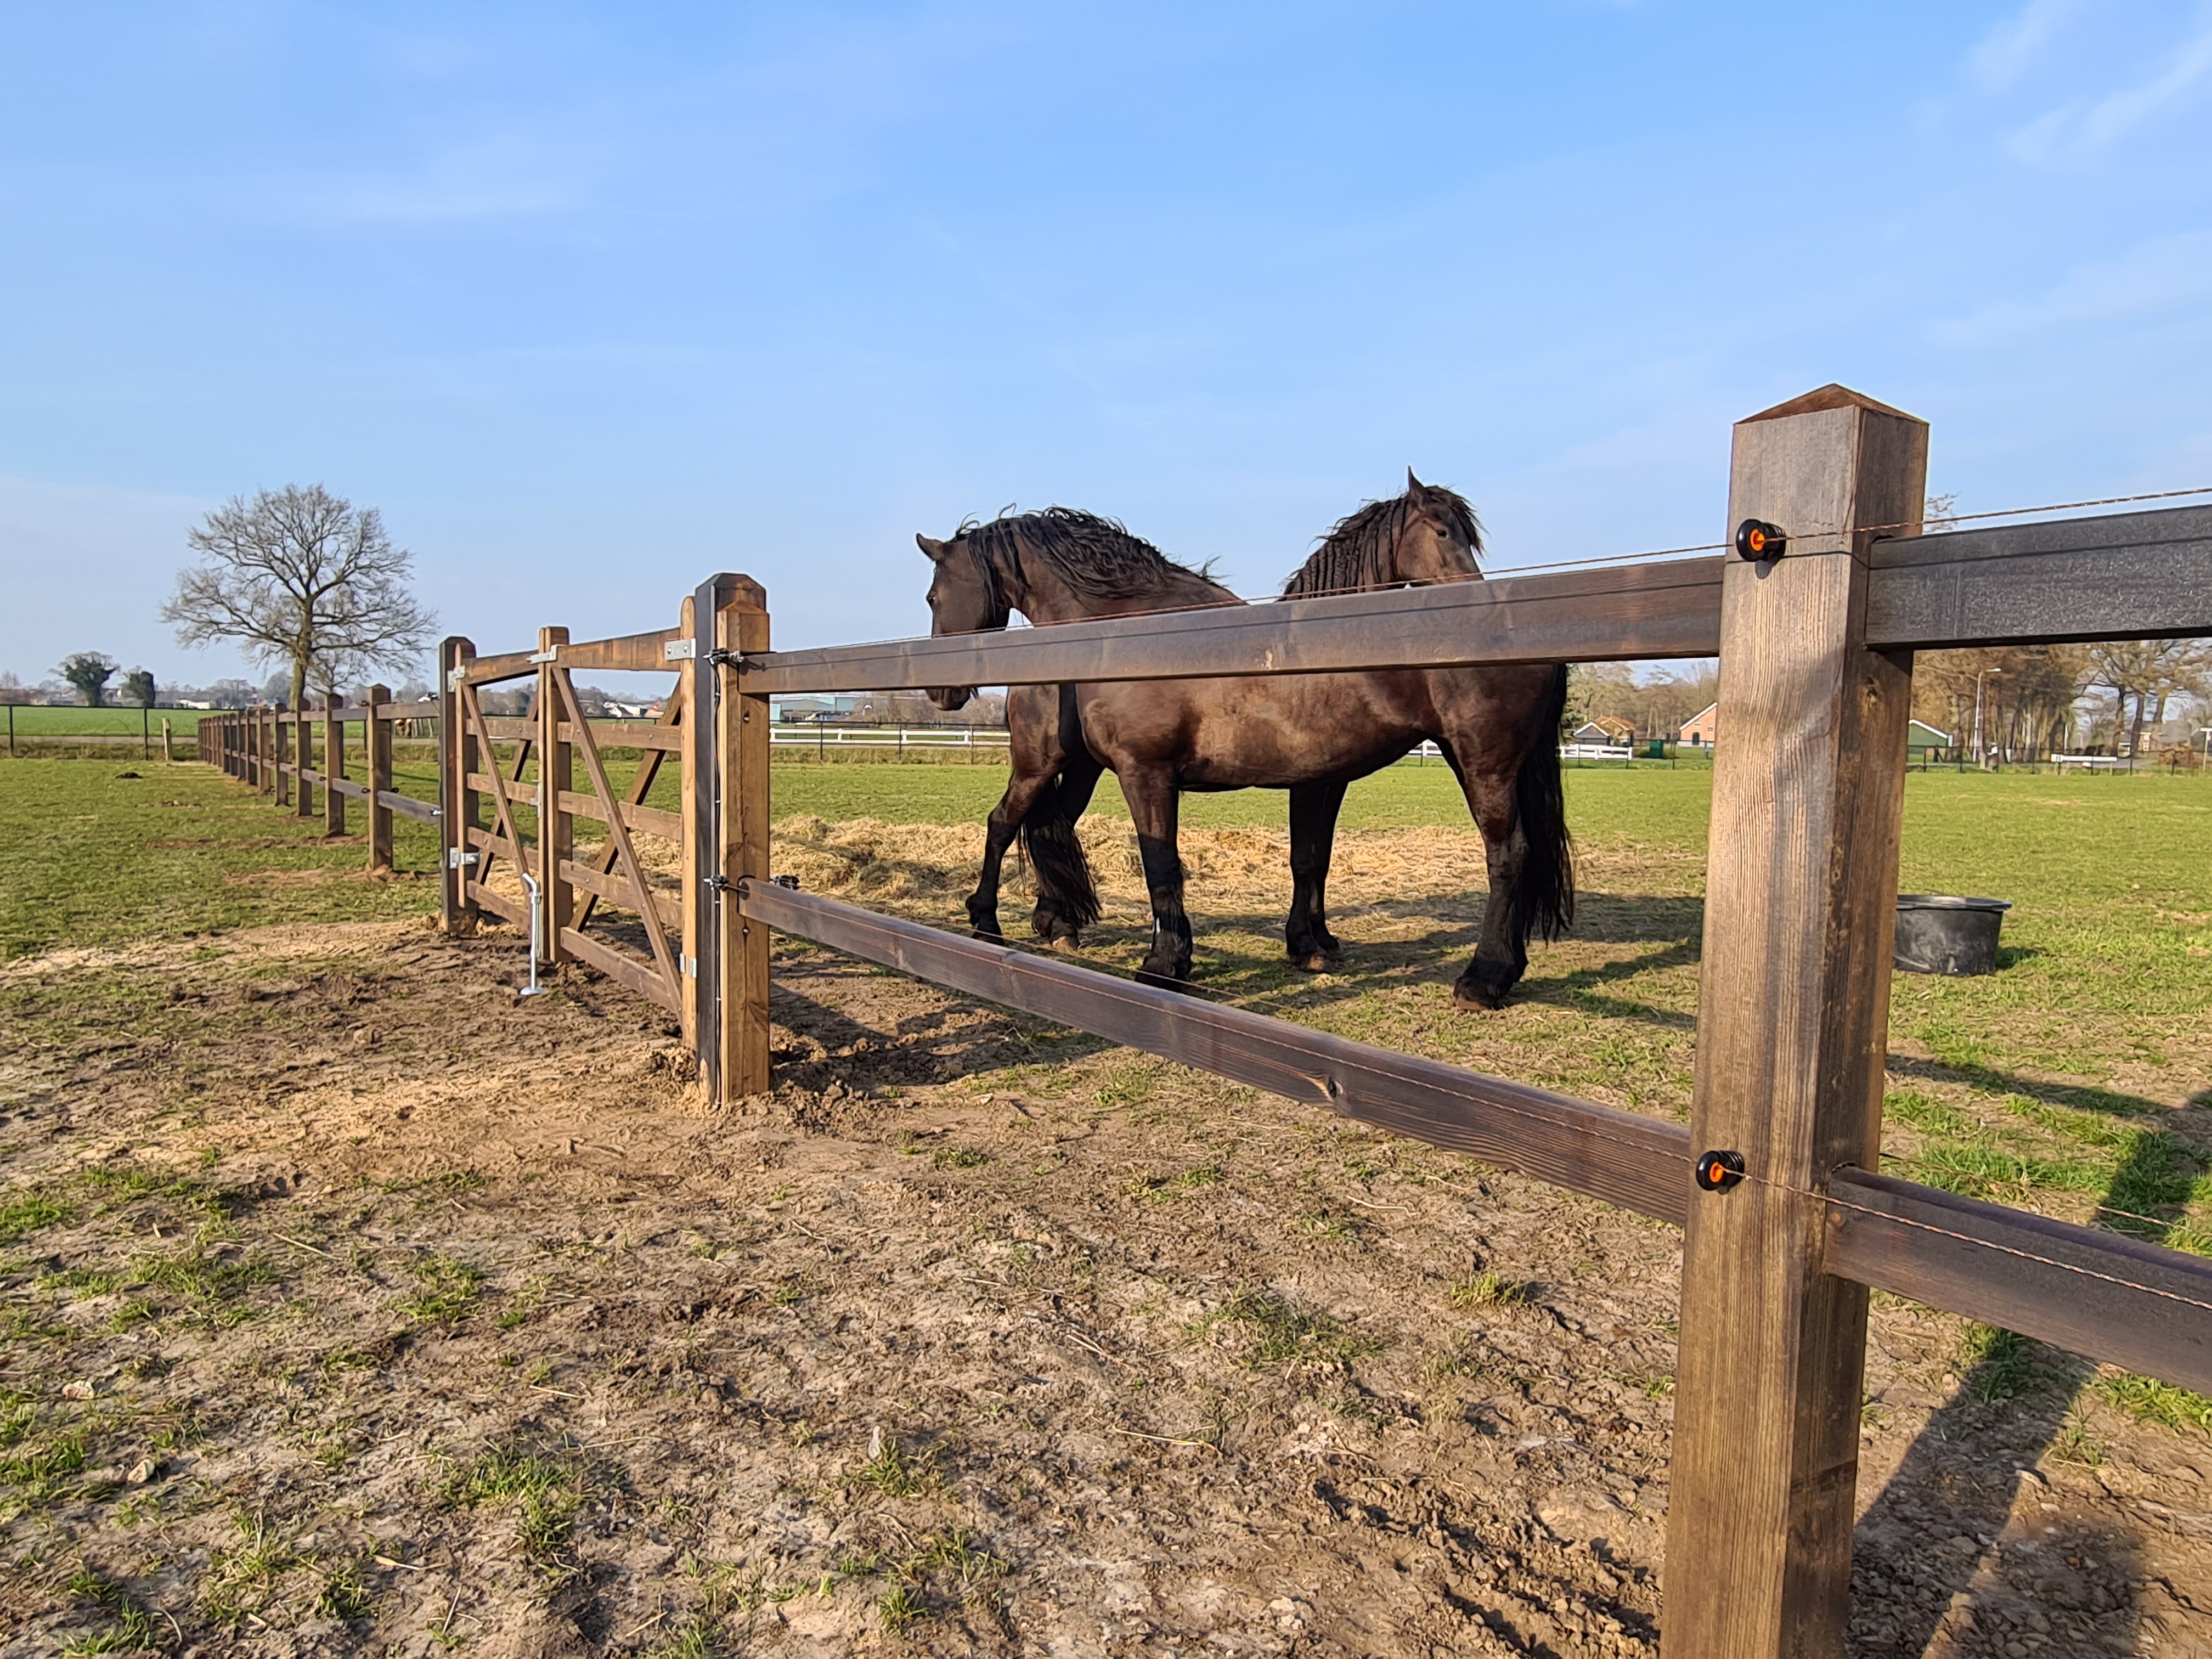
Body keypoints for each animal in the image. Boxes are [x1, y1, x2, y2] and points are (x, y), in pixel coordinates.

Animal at [919, 476, 1572, 1008]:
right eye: (1442, 532)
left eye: (932, 596)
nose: (941, 690)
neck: (1128, 627)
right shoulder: (1304, 779)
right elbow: (1303, 859)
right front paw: (1301, 946)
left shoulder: (1146, 772)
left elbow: (1164, 863)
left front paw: (1165, 963)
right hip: (1059, 765)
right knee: (1032, 823)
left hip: (1482, 763)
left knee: (1509, 855)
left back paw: (1486, 977)